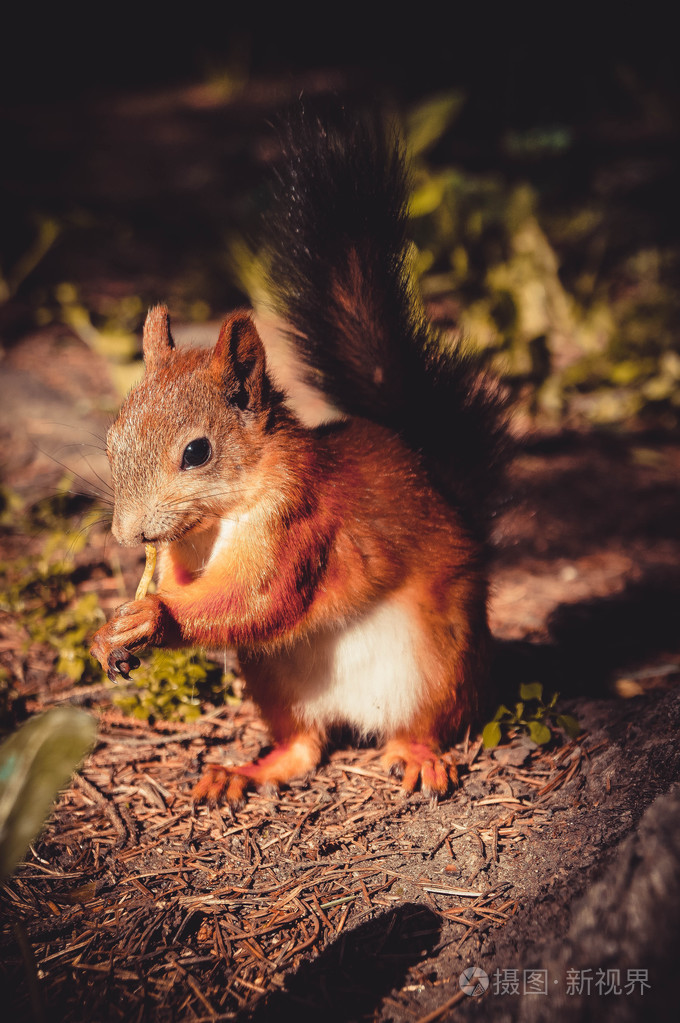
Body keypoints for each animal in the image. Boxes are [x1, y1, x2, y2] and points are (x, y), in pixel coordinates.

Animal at [88, 105, 503, 806]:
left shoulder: (305, 523)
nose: (129, 534)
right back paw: (245, 771)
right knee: (303, 747)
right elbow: (205, 594)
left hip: (441, 660)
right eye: (114, 438)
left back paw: (420, 757)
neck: (218, 520)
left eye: (196, 452)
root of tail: (362, 716)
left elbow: (260, 598)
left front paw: (153, 614)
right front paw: (110, 629)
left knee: (420, 726)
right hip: (275, 677)